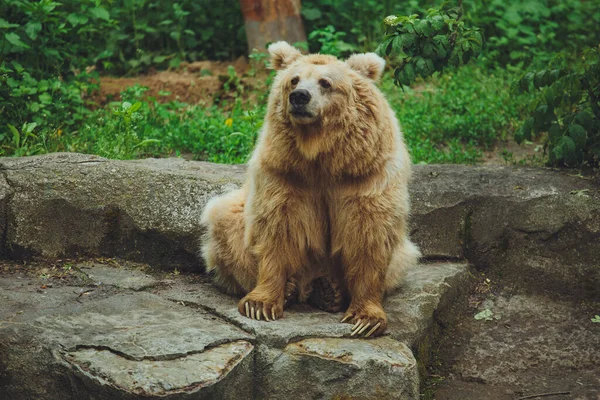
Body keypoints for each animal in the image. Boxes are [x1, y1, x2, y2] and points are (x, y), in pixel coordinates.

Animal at [199, 40, 420, 336]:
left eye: (325, 82)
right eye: (293, 80)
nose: (300, 97)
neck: (320, 156)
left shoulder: (366, 175)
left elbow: (368, 234)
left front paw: (366, 319)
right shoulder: (284, 172)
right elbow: (277, 228)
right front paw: (260, 303)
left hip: (400, 254)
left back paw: (330, 291)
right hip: (234, 215)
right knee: (225, 220)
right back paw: (294, 289)